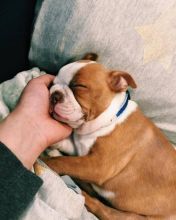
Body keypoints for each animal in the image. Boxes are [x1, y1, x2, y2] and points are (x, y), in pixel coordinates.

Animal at [44, 53, 176, 220]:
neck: (108, 119)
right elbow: (68, 149)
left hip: (129, 216)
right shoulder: (83, 150)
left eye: (79, 86)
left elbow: (64, 162)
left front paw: (45, 161)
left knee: (99, 206)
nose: (54, 94)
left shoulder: (97, 165)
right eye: (53, 83)